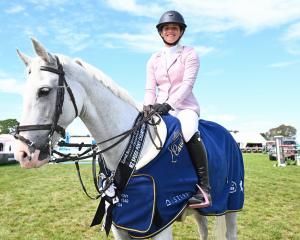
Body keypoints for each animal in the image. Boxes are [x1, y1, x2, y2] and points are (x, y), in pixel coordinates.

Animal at [13, 38, 239, 239]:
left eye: (44, 91)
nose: (23, 154)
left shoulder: (160, 226)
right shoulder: (119, 224)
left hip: (231, 203)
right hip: (199, 210)